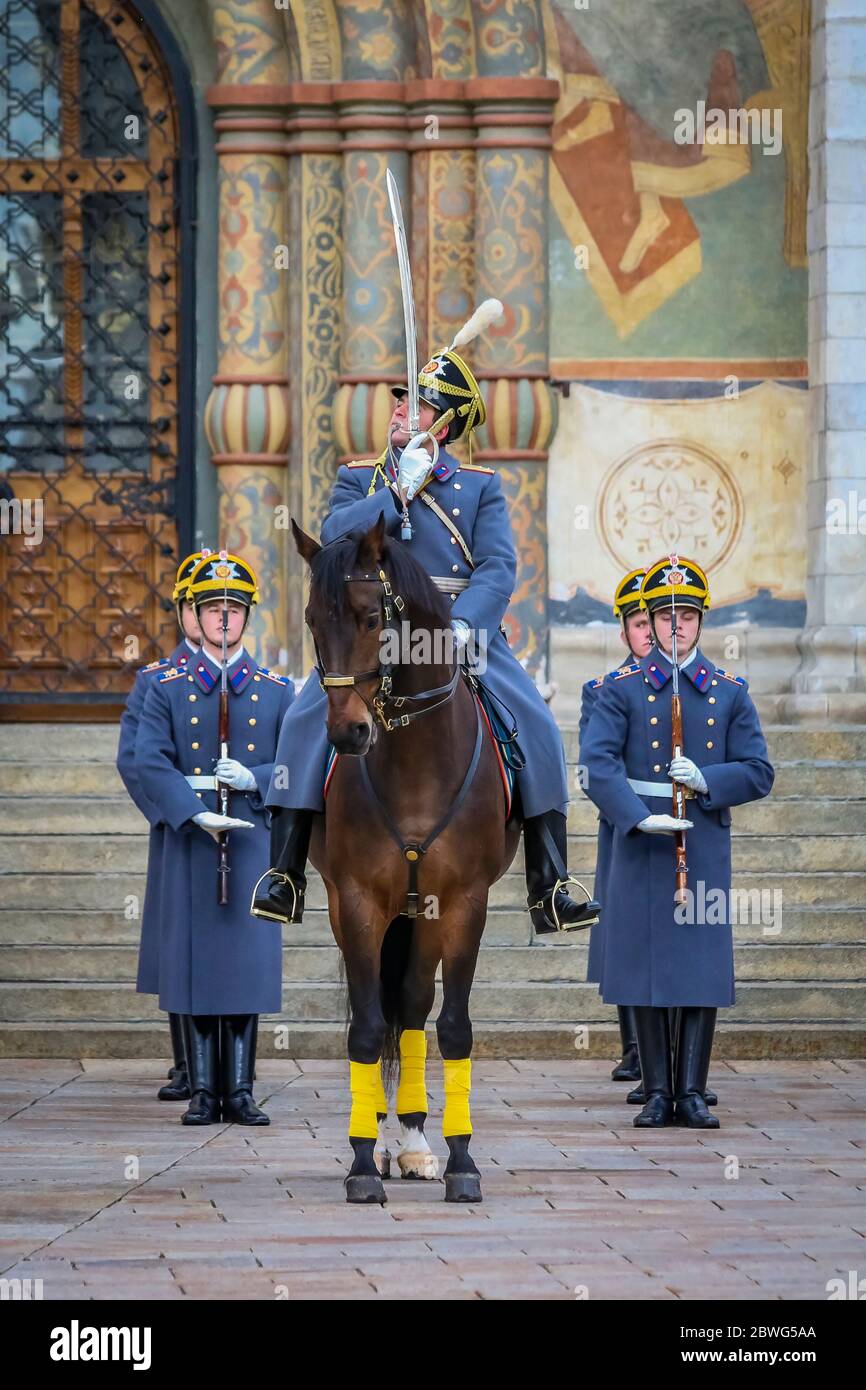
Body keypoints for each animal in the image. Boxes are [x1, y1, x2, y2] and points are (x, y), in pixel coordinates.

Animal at [291, 517, 522, 1200]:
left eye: (372, 617)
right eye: (312, 621)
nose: (347, 734)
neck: (415, 760)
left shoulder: (466, 902)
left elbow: (453, 1025)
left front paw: (463, 1160)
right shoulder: (356, 901)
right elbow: (366, 1028)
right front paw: (363, 1164)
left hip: (425, 912)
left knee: (416, 1004)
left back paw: (419, 1142)